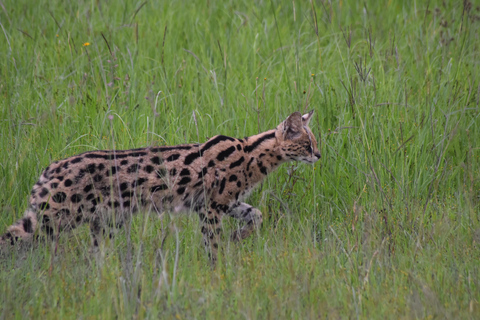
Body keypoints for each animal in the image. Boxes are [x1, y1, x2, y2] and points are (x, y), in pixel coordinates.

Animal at [2, 111, 322, 262]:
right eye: (307, 144)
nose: (319, 155)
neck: (251, 153)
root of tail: (51, 167)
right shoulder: (211, 208)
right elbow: (213, 244)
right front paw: (217, 270)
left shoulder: (225, 202)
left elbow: (256, 215)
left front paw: (238, 237)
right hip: (53, 219)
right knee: (10, 237)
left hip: (104, 222)